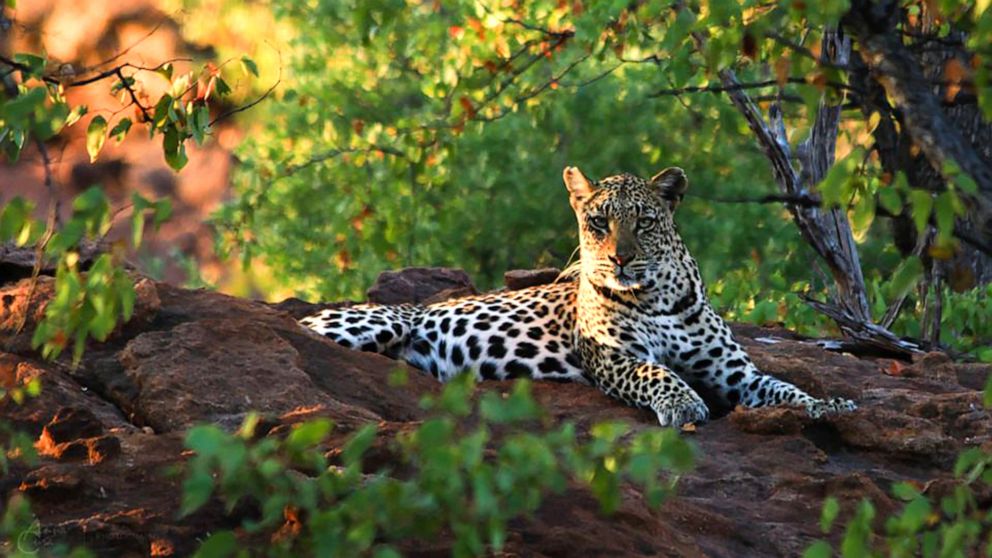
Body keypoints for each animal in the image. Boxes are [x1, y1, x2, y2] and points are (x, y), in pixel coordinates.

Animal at [298, 166, 856, 428]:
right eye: (598, 223)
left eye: (644, 222)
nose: (620, 260)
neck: (659, 296)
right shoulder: (614, 357)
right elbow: (657, 372)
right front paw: (684, 404)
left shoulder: (734, 372)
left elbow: (784, 389)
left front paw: (829, 405)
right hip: (375, 323)